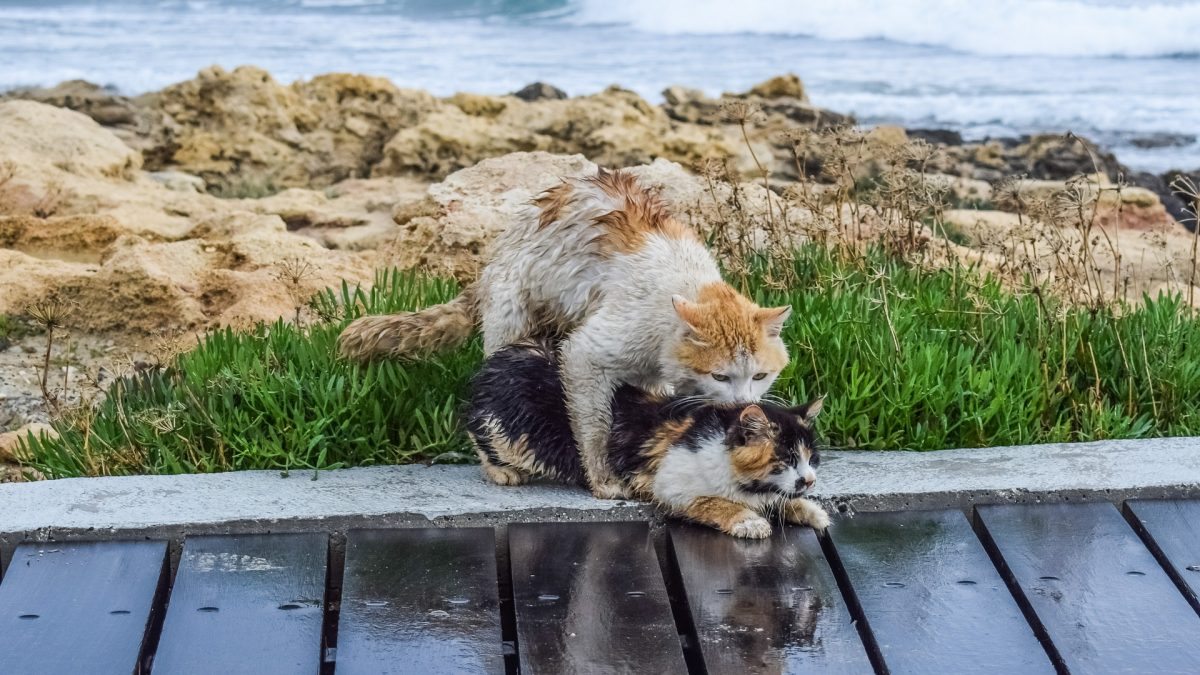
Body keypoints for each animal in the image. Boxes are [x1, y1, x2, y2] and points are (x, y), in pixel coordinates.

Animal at [338, 166, 792, 494]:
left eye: (760, 376)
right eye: (720, 375)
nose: (743, 404)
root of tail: (492, 258)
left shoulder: (651, 374)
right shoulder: (587, 355)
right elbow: (595, 426)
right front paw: (603, 480)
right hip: (511, 325)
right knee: (487, 397)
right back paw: (495, 466)